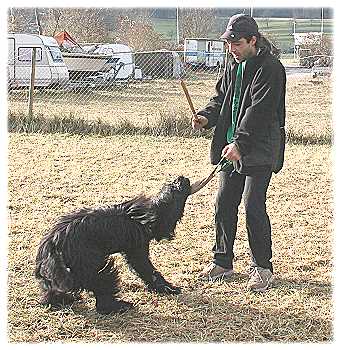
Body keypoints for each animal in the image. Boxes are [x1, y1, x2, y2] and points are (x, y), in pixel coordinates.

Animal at [36, 176, 194, 314]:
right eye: (176, 188)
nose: (182, 177)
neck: (147, 214)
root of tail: (52, 244)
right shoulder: (137, 250)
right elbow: (147, 269)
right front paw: (167, 288)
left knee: (51, 289)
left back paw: (61, 300)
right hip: (93, 267)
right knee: (102, 292)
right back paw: (117, 306)